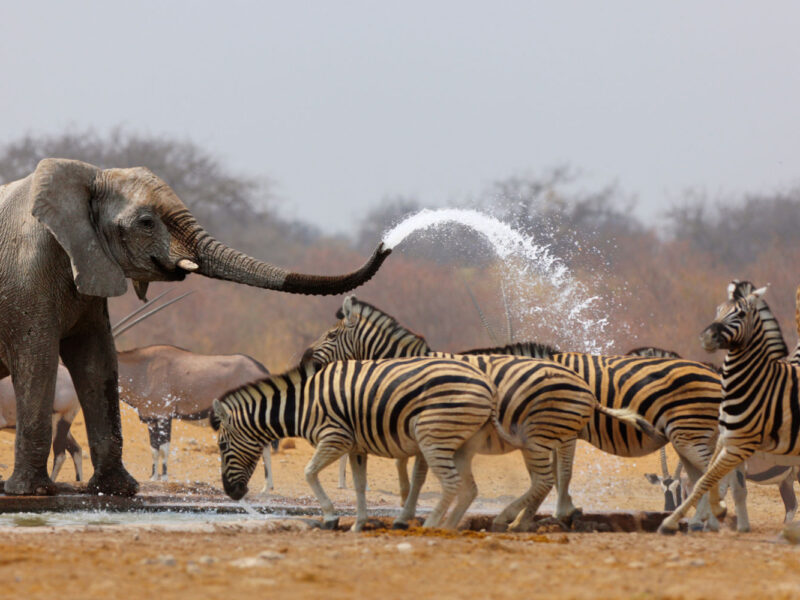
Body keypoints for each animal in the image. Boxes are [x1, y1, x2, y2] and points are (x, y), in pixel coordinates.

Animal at [0, 157, 390, 494]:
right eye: (147, 222)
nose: (385, 246)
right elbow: (69, 365)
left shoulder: (159, 412)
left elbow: (97, 368)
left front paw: (123, 486)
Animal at [209, 356, 496, 528]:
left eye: (222, 446)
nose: (231, 493)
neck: (303, 404)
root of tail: (487, 384)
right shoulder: (357, 446)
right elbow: (358, 485)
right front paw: (359, 523)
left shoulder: (336, 437)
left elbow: (309, 472)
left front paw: (331, 517)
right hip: (455, 442)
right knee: (464, 487)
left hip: (434, 436)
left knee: (451, 483)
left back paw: (431, 525)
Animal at [304, 296, 744, 528]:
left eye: (331, 334)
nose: (306, 358)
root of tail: (708, 370)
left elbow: (418, 472)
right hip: (690, 434)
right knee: (709, 473)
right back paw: (705, 519)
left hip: (688, 431)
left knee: (711, 472)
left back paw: (711, 517)